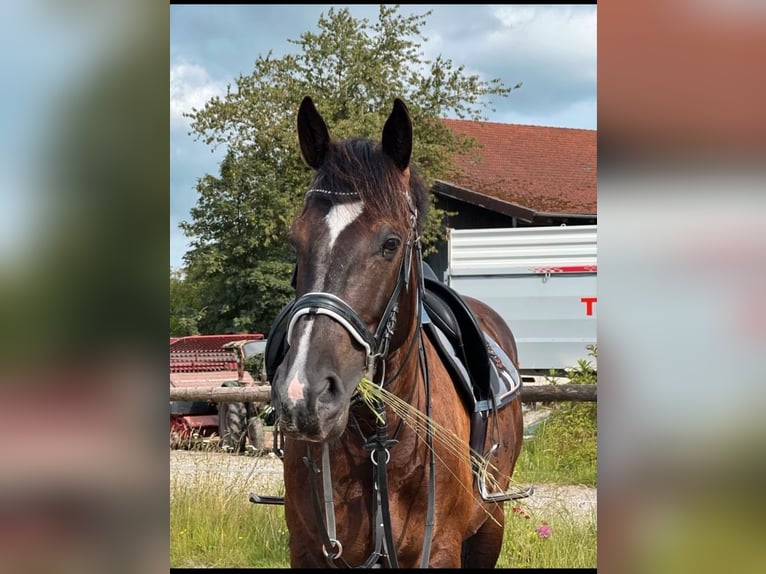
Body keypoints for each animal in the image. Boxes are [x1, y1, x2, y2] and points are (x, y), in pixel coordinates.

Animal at [264, 96, 525, 568]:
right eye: (296, 240)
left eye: (391, 243)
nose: (304, 395)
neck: (378, 443)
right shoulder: (308, 552)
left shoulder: (440, 552)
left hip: (490, 529)